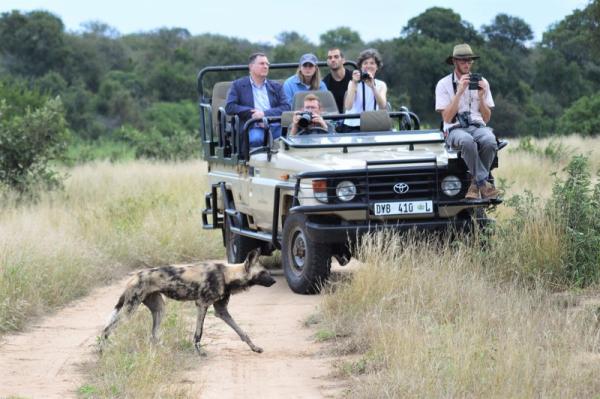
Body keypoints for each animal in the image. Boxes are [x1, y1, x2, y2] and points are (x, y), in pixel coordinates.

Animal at [101, 252, 274, 354]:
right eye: (263, 272)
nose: (274, 281)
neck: (227, 274)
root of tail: (134, 277)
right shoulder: (202, 304)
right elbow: (198, 333)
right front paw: (199, 352)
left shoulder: (221, 311)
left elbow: (241, 332)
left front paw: (254, 347)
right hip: (129, 310)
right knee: (106, 330)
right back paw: (102, 351)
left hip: (159, 309)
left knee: (154, 335)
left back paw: (164, 351)